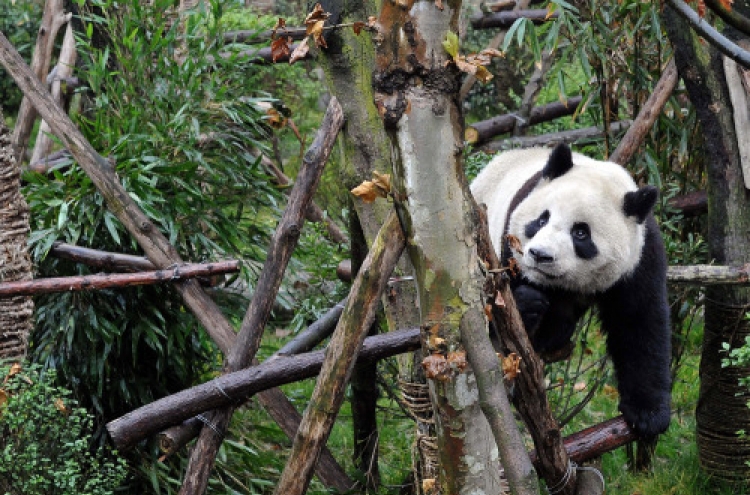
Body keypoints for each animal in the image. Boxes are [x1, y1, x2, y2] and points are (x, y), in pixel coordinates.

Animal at [472, 143, 672, 438]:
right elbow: (506, 322)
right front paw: (528, 305)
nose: (539, 255)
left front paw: (648, 414)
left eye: (580, 233)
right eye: (541, 220)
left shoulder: (640, 256)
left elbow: (640, 322)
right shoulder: (506, 246)